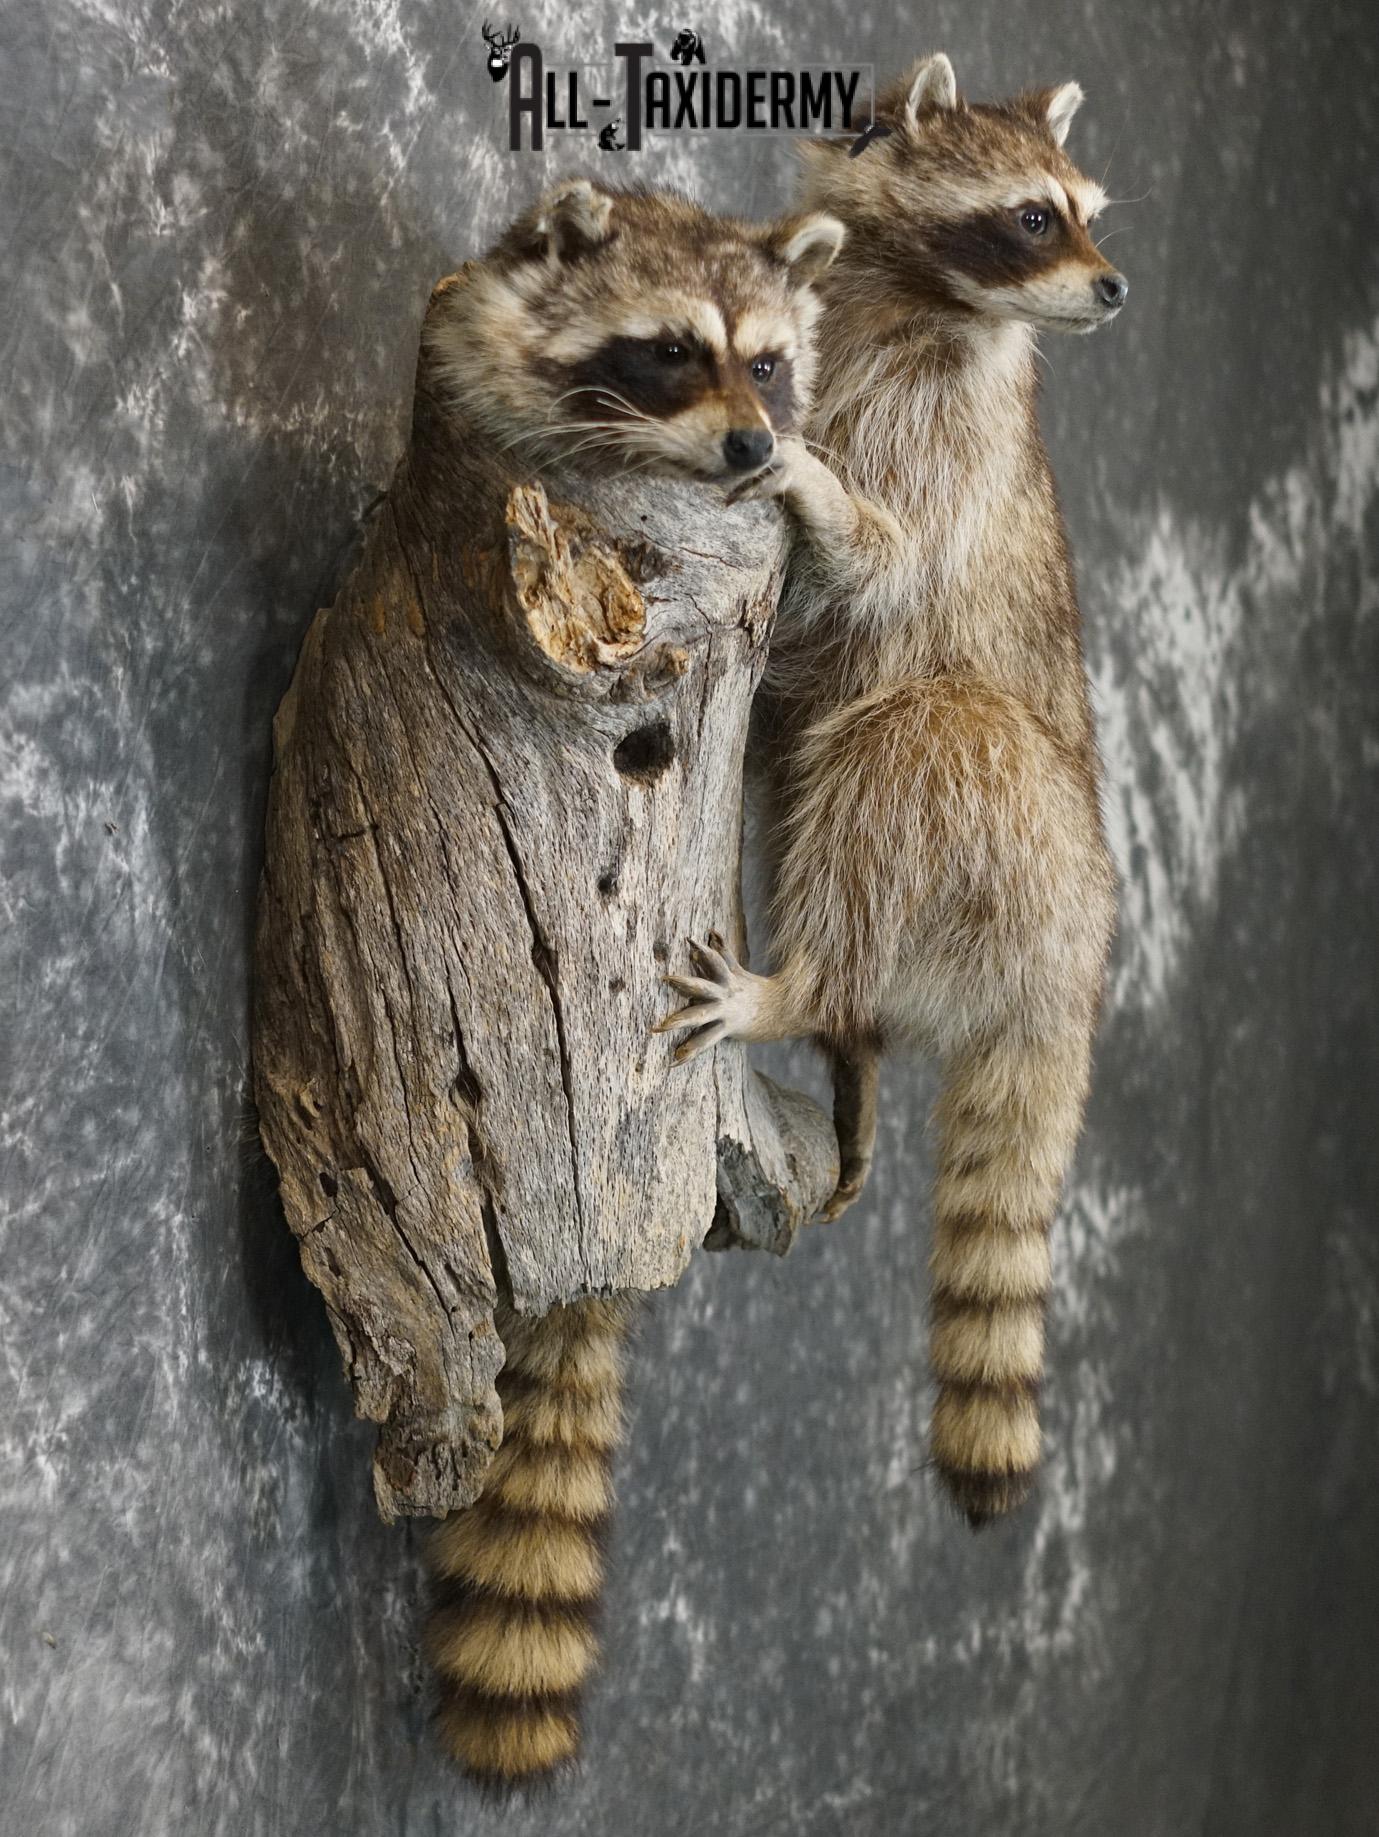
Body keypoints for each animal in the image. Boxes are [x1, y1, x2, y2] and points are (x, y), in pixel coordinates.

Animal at [657, 59, 1126, 1526]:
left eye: (1084, 212)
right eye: (1035, 217)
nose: (1113, 289)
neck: (915, 287)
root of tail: (1073, 951)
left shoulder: (948, 426)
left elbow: (894, 555)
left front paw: (823, 495)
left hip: (1001, 822)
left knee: (909, 744)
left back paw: (808, 986)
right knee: (793, 775)